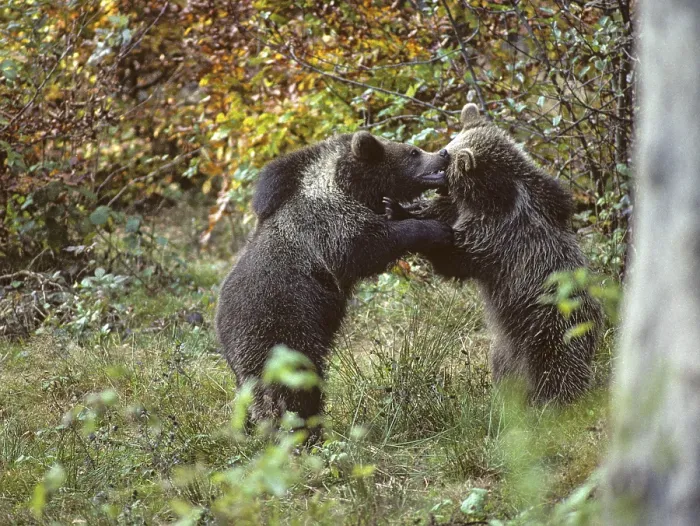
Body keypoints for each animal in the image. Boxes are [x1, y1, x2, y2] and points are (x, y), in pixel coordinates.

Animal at [216, 131, 453, 434]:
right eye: (413, 152)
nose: (443, 153)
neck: (346, 185)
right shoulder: (327, 226)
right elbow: (369, 244)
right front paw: (435, 229)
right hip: (279, 331)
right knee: (291, 390)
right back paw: (303, 430)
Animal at [385, 103, 603, 404]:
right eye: (445, 150)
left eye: (446, 160)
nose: (440, 158)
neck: (497, 195)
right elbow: (440, 212)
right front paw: (401, 208)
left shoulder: (498, 236)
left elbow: (458, 257)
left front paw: (404, 216)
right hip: (506, 345)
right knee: (504, 367)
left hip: (550, 327)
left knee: (556, 369)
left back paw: (556, 402)